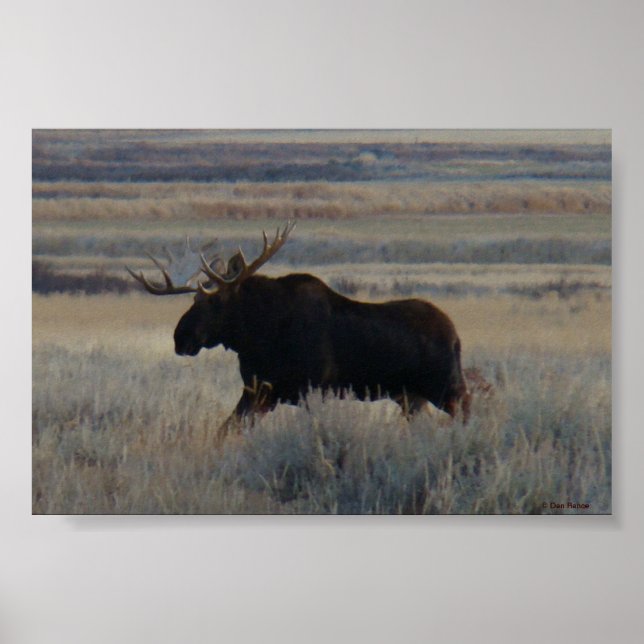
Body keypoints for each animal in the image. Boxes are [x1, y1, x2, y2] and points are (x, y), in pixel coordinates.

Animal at [127, 222, 470, 437]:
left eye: (216, 300)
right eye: (194, 298)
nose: (180, 338)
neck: (257, 337)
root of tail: (456, 335)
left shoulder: (311, 389)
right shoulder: (259, 392)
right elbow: (225, 430)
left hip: (446, 387)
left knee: (469, 411)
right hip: (411, 397)